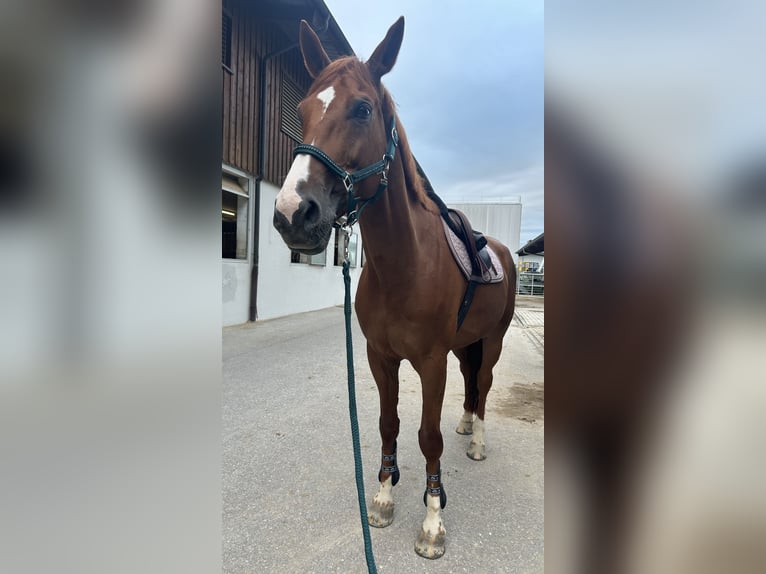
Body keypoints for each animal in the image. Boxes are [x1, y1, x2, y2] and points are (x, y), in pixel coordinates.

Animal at [272, 18, 520, 564]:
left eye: (362, 108)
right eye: (302, 109)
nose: (292, 214)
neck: (404, 266)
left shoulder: (430, 362)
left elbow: (428, 437)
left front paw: (432, 521)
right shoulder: (379, 356)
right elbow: (388, 425)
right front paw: (384, 498)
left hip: (490, 340)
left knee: (485, 382)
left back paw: (477, 440)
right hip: (465, 344)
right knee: (472, 383)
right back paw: (466, 424)